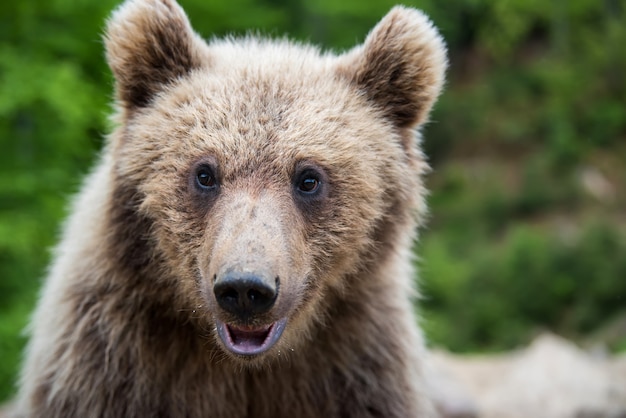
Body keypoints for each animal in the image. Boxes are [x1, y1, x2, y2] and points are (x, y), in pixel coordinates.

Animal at [12, 0, 446, 416]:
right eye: (205, 173)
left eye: (309, 178)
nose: (244, 288)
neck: (241, 368)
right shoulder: (112, 360)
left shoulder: (357, 364)